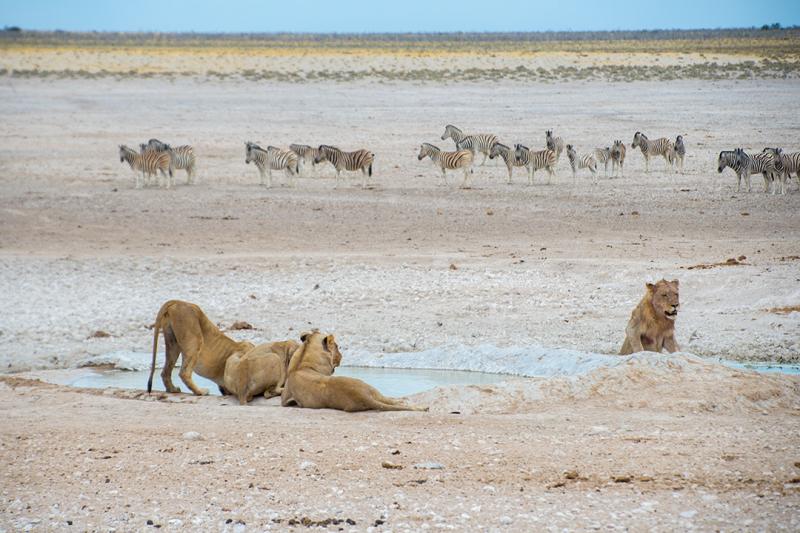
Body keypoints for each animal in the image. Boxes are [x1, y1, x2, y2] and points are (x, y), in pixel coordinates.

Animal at [284, 330, 428, 414]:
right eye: (337, 346)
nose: (342, 356)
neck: (302, 360)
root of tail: (361, 396)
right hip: (371, 388)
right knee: (390, 400)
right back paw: (414, 404)